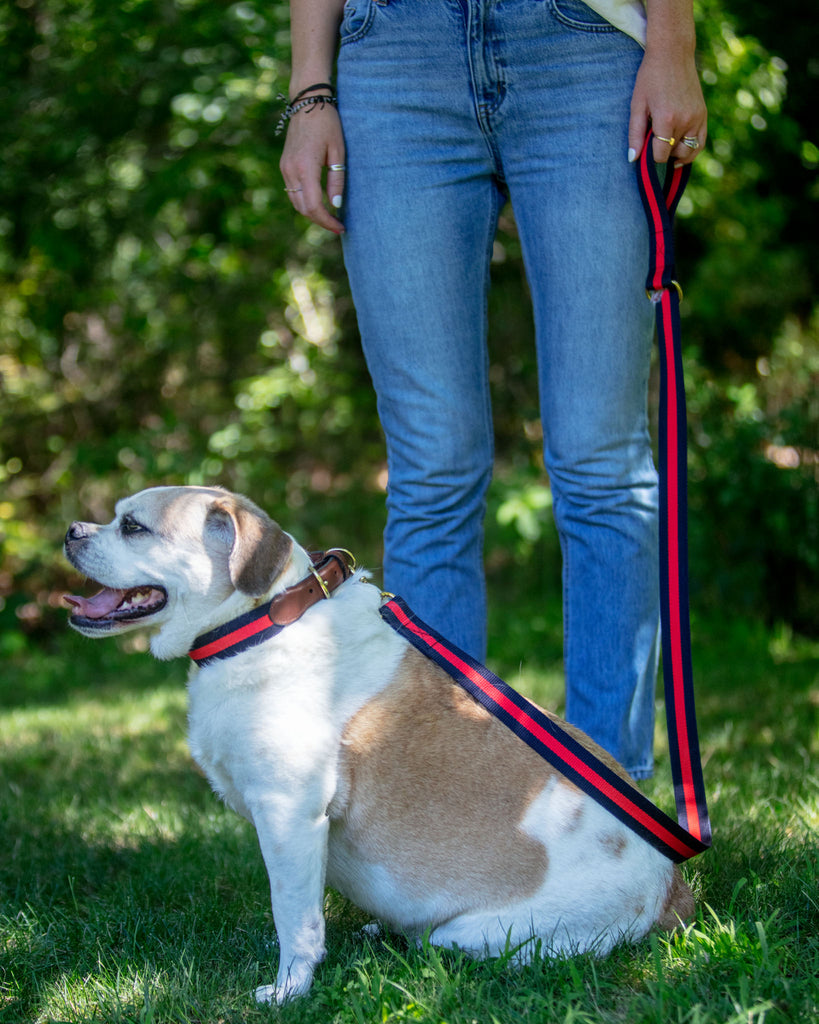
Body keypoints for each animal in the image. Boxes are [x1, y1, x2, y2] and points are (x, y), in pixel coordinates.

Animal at [63, 485, 696, 999]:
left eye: (133, 526)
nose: (70, 529)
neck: (260, 623)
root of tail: (670, 890)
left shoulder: (289, 817)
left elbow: (295, 919)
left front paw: (290, 989)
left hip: (477, 936)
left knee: (438, 945)